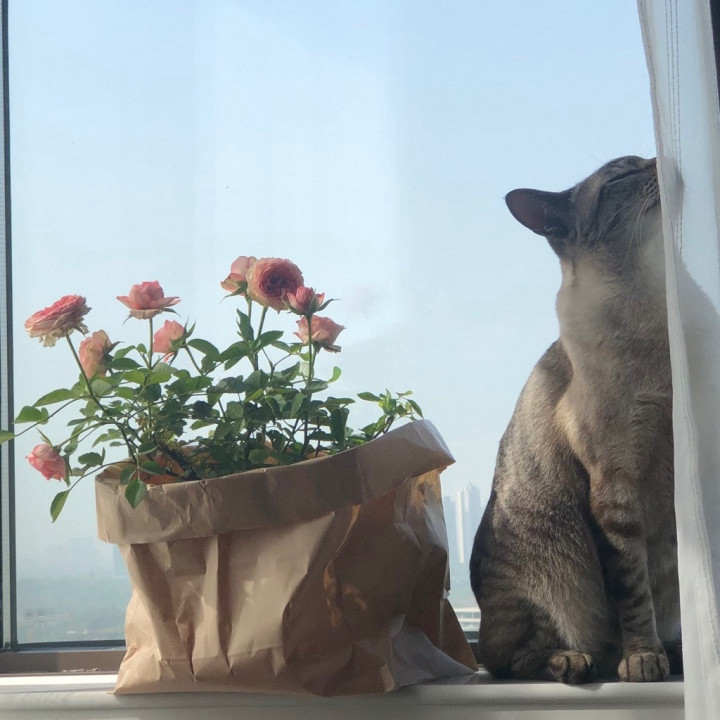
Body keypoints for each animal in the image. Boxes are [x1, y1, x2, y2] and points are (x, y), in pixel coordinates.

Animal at [469, 156, 680, 684]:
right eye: (624, 174)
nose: (659, 159)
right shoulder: (615, 484)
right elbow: (633, 594)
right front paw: (643, 660)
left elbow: (658, 588)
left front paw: (658, 654)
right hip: (555, 565)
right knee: (518, 659)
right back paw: (578, 661)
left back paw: (672, 651)